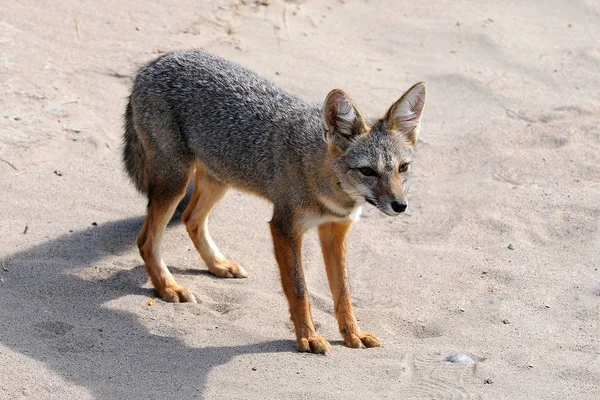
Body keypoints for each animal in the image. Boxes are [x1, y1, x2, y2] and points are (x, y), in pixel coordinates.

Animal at [123, 49, 426, 354]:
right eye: (367, 171)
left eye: (403, 168)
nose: (400, 205)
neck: (327, 181)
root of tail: (161, 59)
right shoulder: (284, 227)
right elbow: (299, 289)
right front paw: (308, 337)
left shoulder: (335, 231)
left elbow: (343, 291)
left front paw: (353, 333)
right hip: (176, 183)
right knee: (147, 240)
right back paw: (168, 288)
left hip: (219, 179)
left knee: (190, 219)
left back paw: (218, 265)